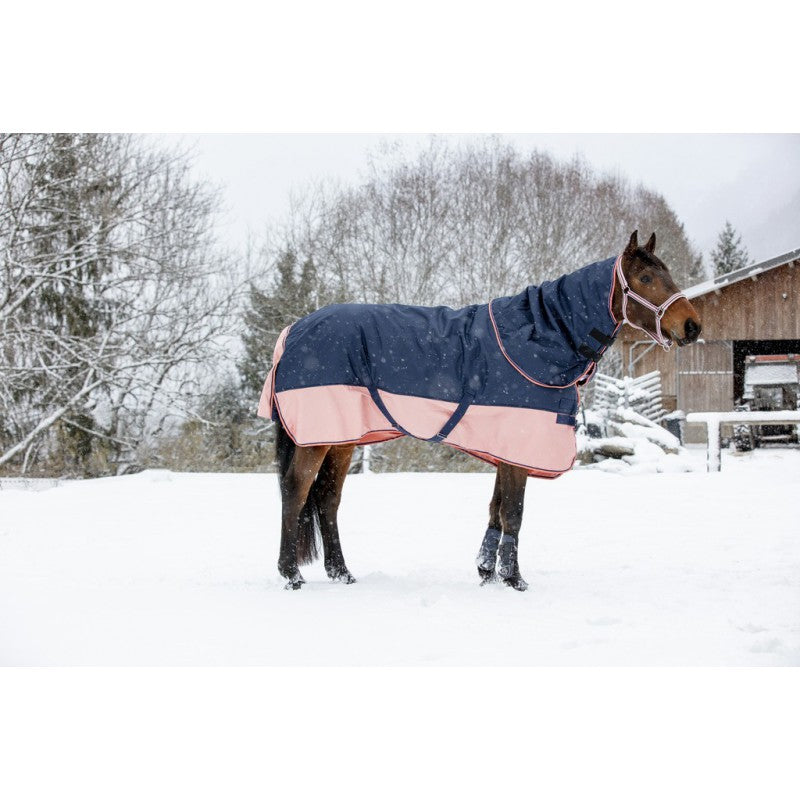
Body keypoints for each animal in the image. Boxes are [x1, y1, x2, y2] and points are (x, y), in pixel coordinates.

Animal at [259, 231, 702, 590]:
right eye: (645, 279)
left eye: (668, 274)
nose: (692, 326)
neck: (541, 338)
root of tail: (291, 331)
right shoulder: (519, 447)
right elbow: (514, 513)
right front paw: (515, 579)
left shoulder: (505, 448)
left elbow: (496, 510)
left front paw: (487, 571)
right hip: (317, 439)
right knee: (295, 491)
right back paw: (291, 575)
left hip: (341, 440)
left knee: (328, 499)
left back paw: (342, 573)